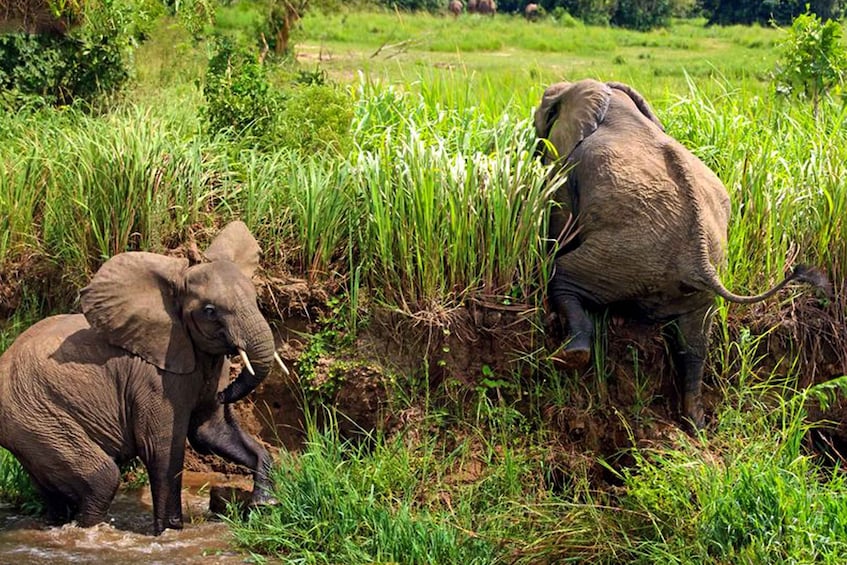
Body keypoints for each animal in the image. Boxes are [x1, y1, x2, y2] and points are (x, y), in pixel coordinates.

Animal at [0, 220, 290, 532]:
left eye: (256, 299)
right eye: (210, 311)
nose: (224, 394)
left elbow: (211, 431)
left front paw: (265, 504)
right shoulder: (155, 378)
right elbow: (161, 448)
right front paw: (170, 531)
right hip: (35, 415)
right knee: (102, 478)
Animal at [532, 78, 824, 428]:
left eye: (542, 113)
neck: (608, 97)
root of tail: (698, 259)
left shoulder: (568, 167)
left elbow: (558, 224)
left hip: (627, 257)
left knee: (563, 277)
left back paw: (570, 356)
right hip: (686, 279)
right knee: (694, 345)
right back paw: (695, 423)